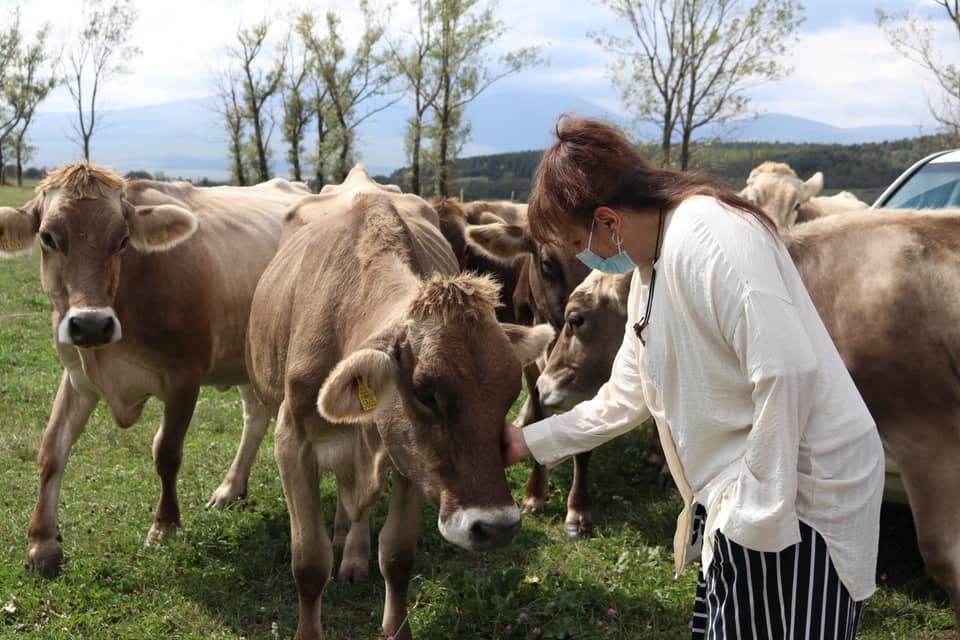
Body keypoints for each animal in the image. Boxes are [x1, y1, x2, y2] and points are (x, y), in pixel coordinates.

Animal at [0, 163, 311, 577]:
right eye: (48, 237)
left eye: (122, 239)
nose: (92, 324)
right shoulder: (78, 376)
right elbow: (52, 449)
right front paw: (42, 543)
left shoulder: (185, 376)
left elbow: (166, 451)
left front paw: (164, 527)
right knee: (255, 416)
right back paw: (230, 489)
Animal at [245, 165, 554, 640]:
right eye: (425, 393)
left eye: (508, 394)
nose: (496, 527)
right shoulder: (292, 438)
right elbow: (309, 560)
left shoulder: (412, 456)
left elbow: (396, 555)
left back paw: (352, 554)